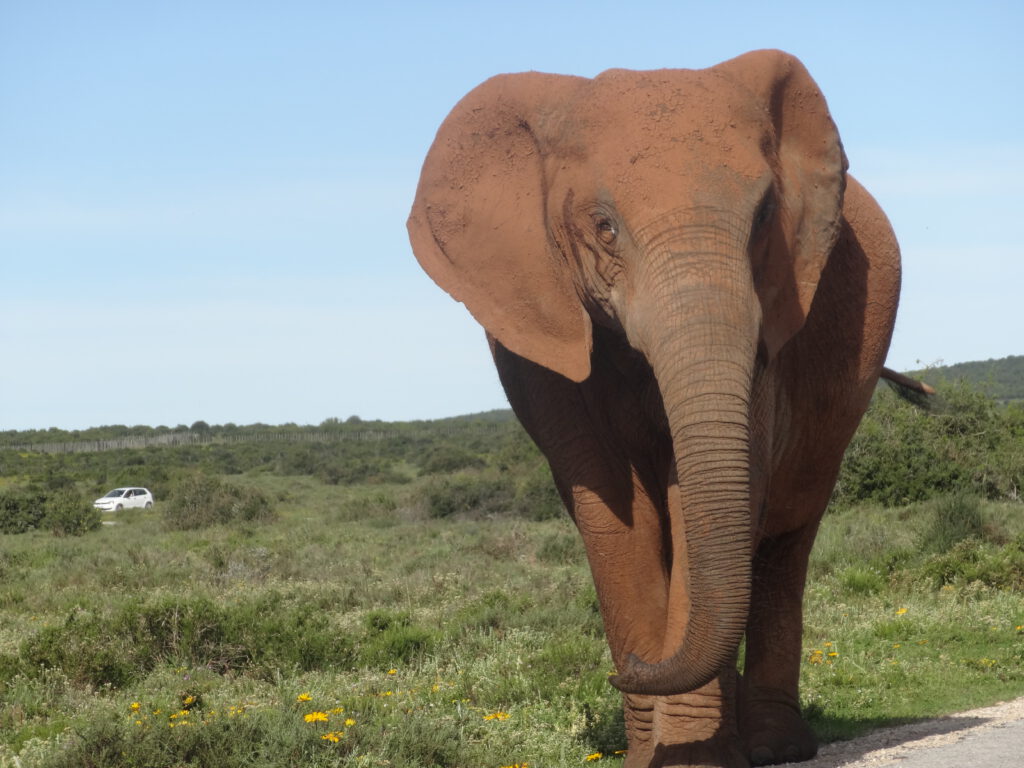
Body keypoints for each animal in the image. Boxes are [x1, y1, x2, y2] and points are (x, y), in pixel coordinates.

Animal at [407, 51, 905, 765]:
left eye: (764, 219)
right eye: (604, 227)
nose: (630, 668)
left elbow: (711, 493)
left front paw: (695, 755)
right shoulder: (540, 329)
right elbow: (612, 505)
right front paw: (652, 752)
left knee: (786, 539)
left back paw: (776, 746)